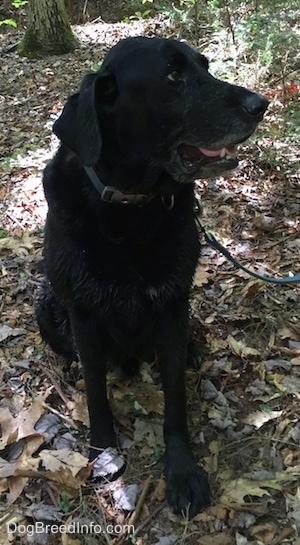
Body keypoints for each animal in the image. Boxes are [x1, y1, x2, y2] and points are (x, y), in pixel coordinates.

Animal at [35, 37, 268, 516]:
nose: (261, 104)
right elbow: (96, 393)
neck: (132, 206)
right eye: (173, 76)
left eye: (206, 66)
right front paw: (103, 453)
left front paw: (181, 472)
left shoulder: (173, 303)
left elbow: (174, 398)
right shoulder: (83, 312)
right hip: (45, 303)